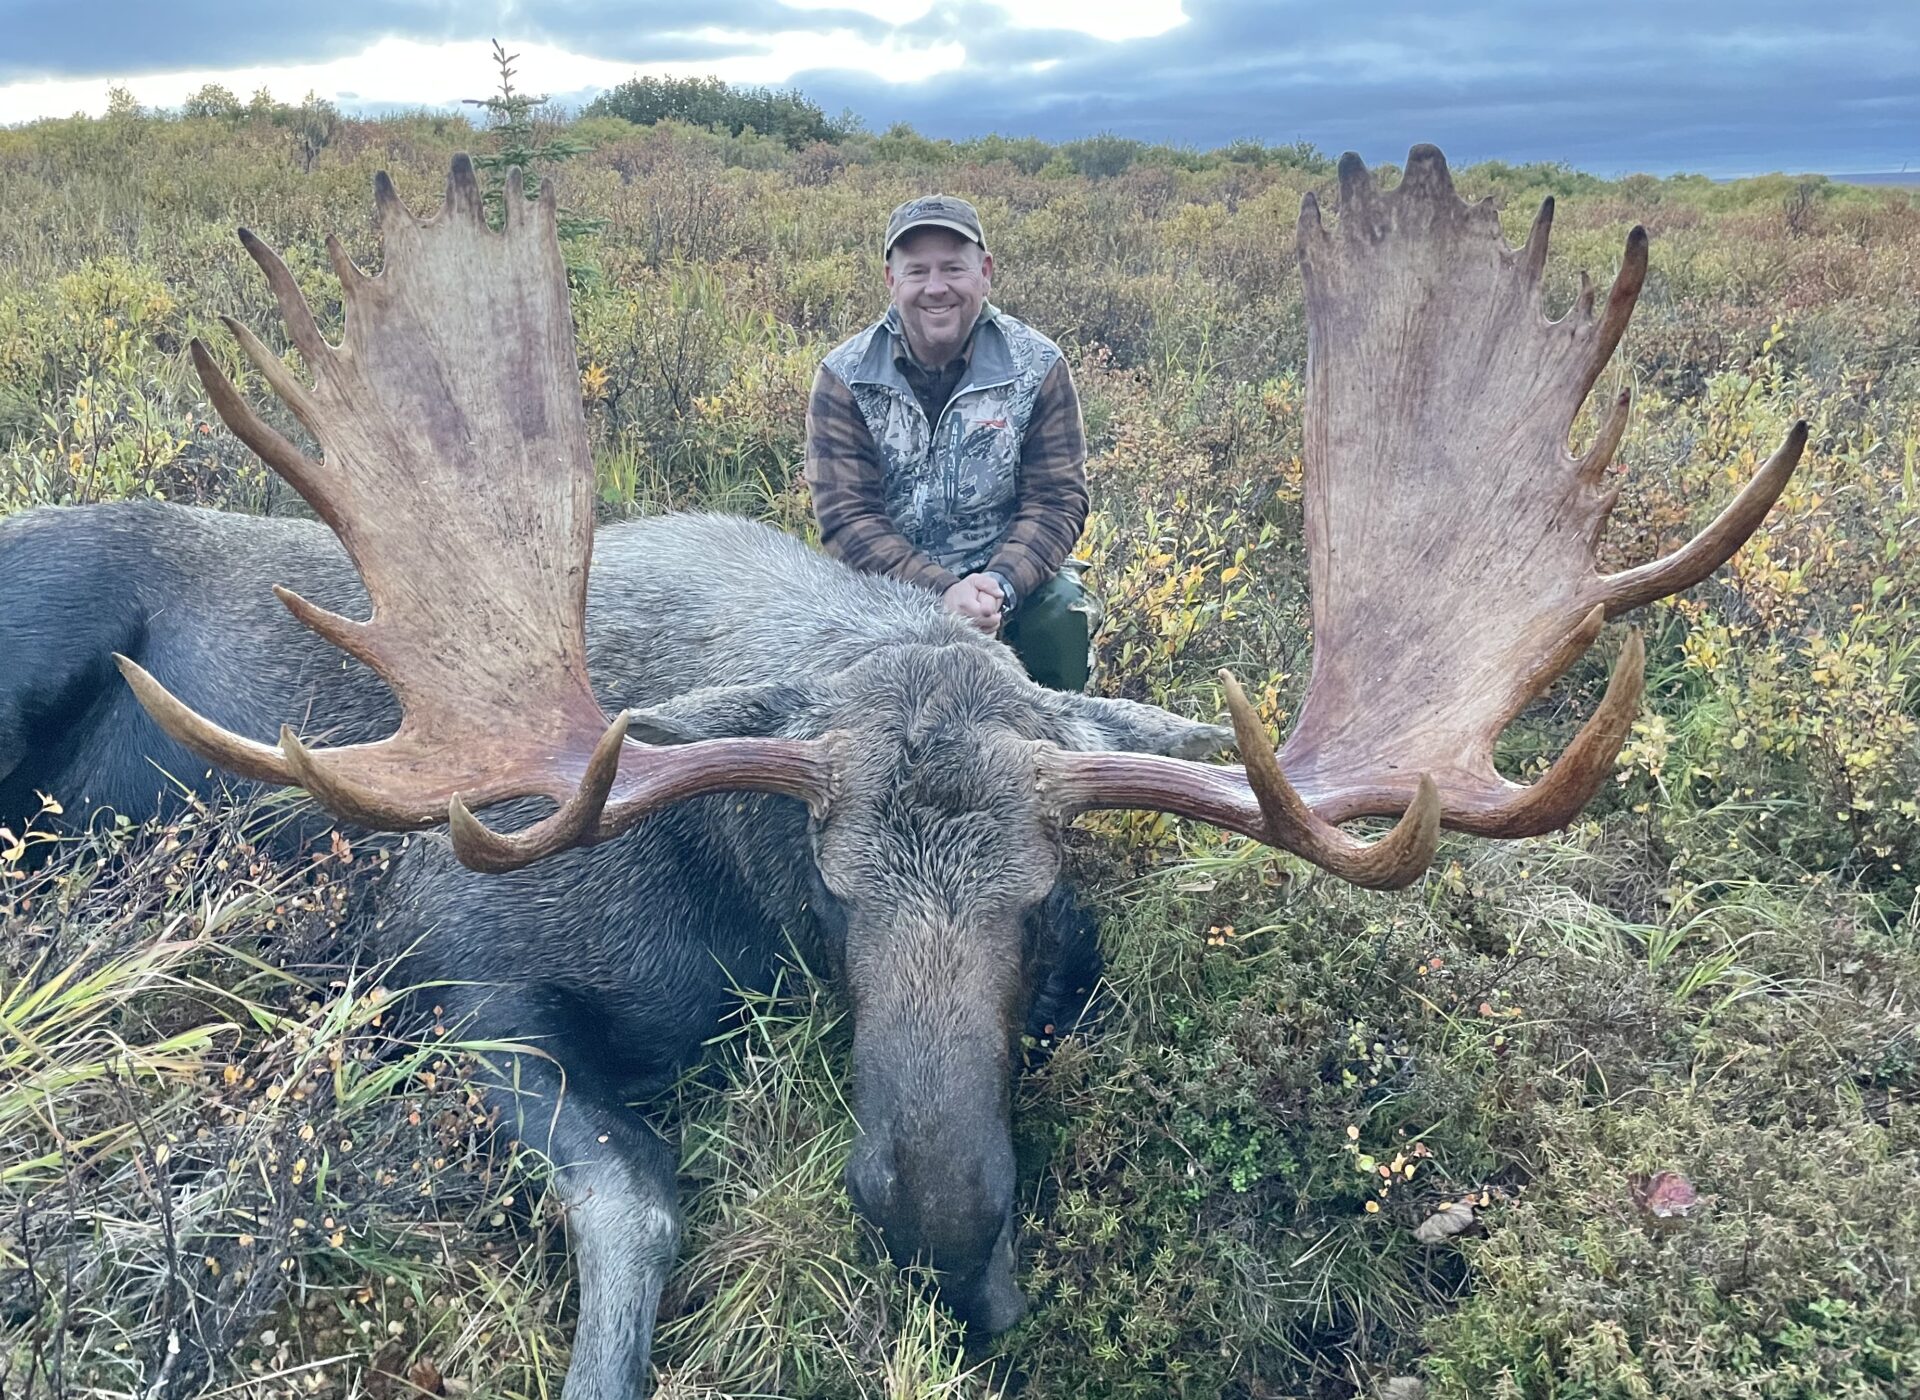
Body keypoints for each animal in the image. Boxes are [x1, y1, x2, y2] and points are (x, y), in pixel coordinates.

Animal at [0, 146, 1802, 1397]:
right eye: (831, 889)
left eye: (1049, 907)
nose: (940, 1232)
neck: (717, 909)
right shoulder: (446, 964)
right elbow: (639, 1203)